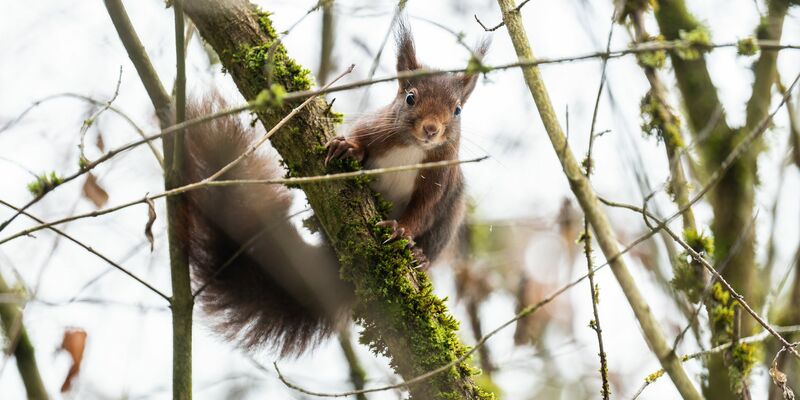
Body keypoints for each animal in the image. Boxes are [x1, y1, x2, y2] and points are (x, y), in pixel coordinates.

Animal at [181, 23, 487, 356]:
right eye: (410, 98)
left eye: (457, 110)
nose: (431, 129)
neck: (413, 149)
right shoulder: (374, 128)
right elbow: (360, 139)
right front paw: (347, 147)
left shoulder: (440, 179)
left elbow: (423, 210)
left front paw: (401, 231)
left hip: (450, 219)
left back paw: (420, 258)